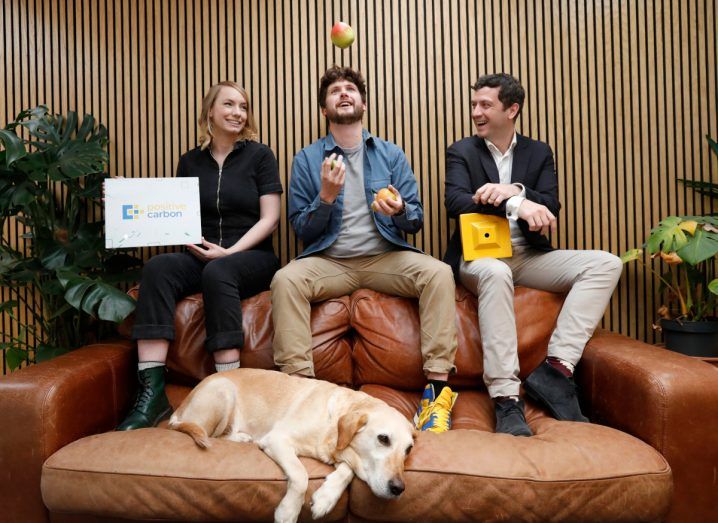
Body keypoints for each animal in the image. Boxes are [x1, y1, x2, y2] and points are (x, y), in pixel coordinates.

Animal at [169, 368, 416, 523]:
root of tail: (178, 411)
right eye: (383, 438)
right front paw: (288, 512)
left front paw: (325, 499)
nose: (398, 488)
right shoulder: (278, 439)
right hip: (224, 390)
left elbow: (346, 472)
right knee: (211, 435)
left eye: (408, 449)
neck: (332, 424)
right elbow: (300, 475)